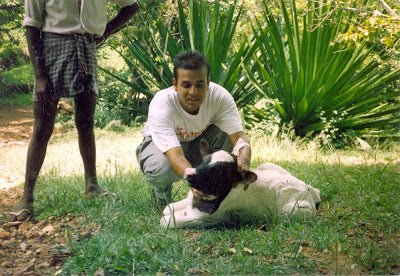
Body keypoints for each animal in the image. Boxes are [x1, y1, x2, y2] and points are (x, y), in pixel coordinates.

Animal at [160, 138, 322, 229]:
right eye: (204, 160)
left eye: (220, 172)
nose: (188, 172)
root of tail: (309, 189)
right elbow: (167, 208)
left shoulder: (209, 219)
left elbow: (167, 221)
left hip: (295, 210)